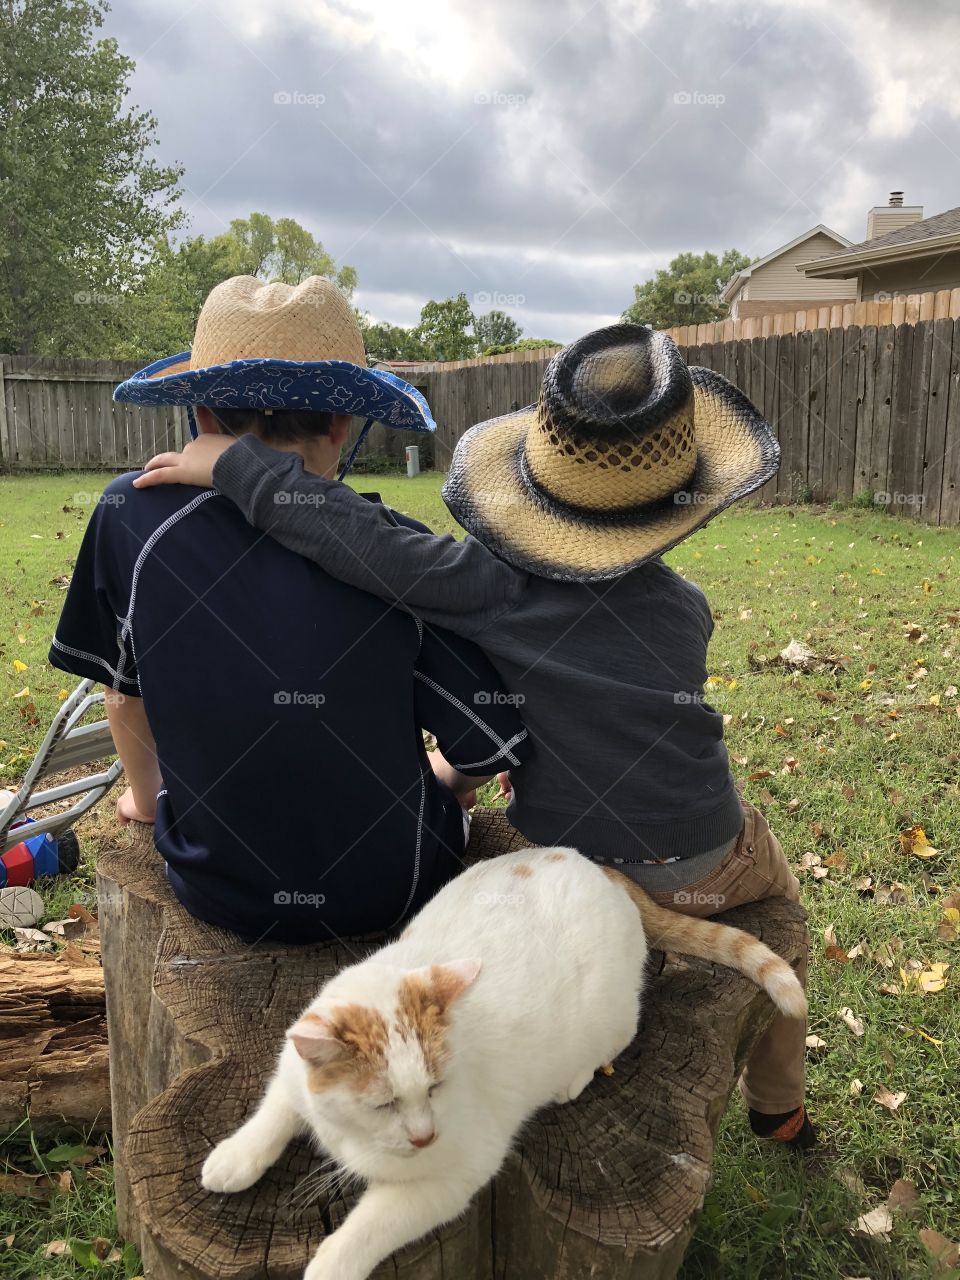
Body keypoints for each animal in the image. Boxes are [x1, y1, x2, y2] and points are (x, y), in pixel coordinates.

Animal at [203, 849, 803, 1280]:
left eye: (436, 1089)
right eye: (384, 1103)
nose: (424, 1136)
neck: (349, 1132)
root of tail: (599, 867)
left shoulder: (457, 1173)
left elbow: (371, 1225)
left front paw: (330, 1265)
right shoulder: (291, 1072)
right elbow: (273, 1112)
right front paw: (234, 1157)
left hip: (610, 1011)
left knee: (622, 1033)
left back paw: (574, 1076)